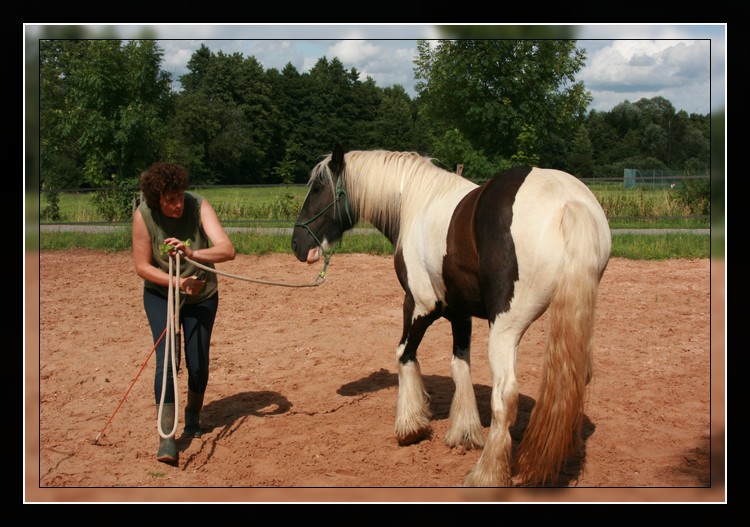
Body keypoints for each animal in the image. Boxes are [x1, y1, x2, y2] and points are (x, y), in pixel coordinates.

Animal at [290, 143, 612, 486]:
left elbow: (404, 354)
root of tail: (567, 201)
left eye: (318, 187)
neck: (415, 203)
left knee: (505, 395)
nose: (297, 244)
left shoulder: (419, 305)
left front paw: (410, 427)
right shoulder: (460, 313)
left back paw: (486, 475)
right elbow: (460, 366)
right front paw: (464, 433)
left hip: (505, 328)